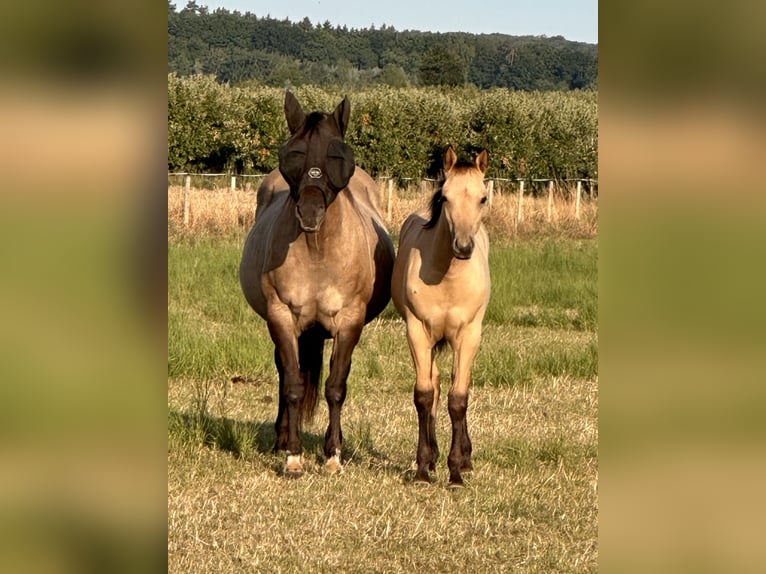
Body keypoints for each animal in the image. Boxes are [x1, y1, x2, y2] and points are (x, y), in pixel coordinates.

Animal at [240, 91, 395, 477]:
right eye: (293, 153)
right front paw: (294, 456)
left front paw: (333, 455)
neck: (317, 252)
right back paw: (282, 438)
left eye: (337, 155)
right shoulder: (281, 318)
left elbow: (336, 387)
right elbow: (294, 385)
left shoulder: (350, 322)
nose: (310, 212)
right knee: (284, 373)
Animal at [391, 145, 491, 487]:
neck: (448, 279)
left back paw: (467, 458)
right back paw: (433, 457)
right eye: (445, 197)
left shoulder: (469, 335)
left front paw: (457, 471)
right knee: (433, 384)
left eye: (483, 198)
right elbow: (424, 394)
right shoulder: (417, 331)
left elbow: (458, 397)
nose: (463, 246)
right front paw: (423, 468)